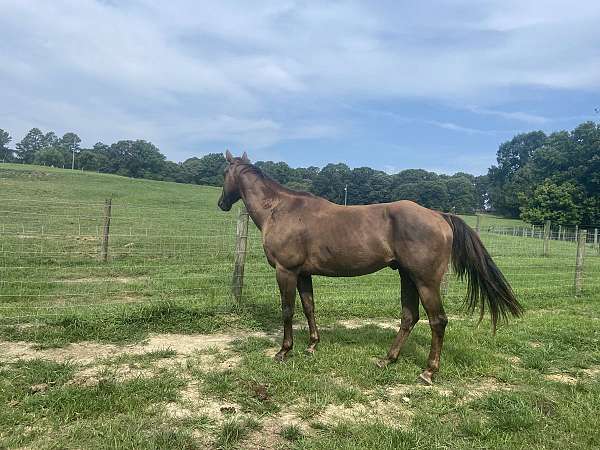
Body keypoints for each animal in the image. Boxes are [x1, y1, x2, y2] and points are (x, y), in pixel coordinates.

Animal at [216, 151, 520, 384]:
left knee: (438, 321)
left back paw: (428, 372)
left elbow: (288, 311)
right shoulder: (303, 274)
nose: (221, 203)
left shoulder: (286, 271)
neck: (279, 209)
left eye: (224, 173)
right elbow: (309, 307)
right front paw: (312, 345)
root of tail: (439, 215)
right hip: (408, 277)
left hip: (425, 281)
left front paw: (283, 351)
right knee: (409, 317)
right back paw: (387, 360)